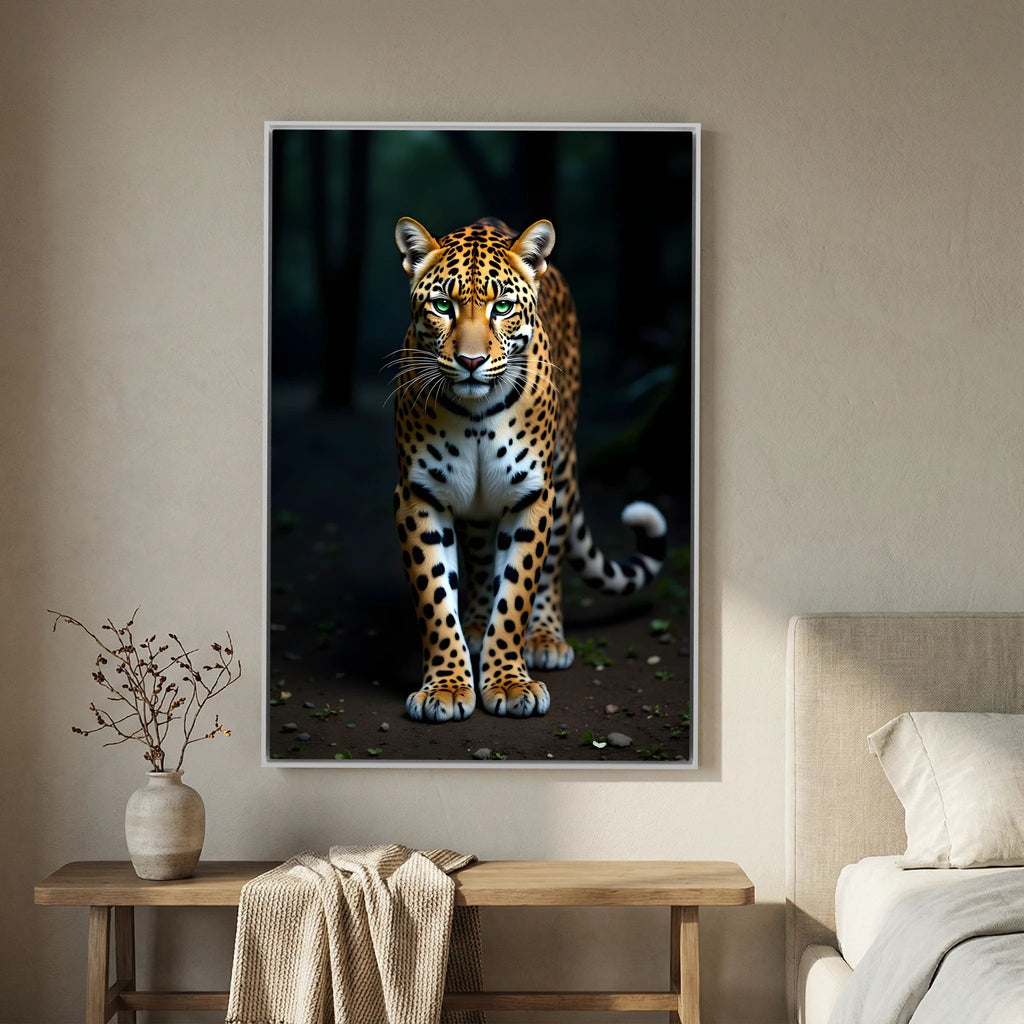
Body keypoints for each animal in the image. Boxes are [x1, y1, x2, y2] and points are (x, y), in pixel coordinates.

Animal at [390, 216, 667, 722]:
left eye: (502, 307)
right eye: (442, 305)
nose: (472, 362)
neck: (476, 415)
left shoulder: (531, 496)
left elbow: (517, 592)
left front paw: (509, 682)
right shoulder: (419, 495)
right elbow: (435, 598)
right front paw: (447, 686)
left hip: (562, 474)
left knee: (551, 565)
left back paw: (544, 638)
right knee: (480, 559)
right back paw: (475, 625)